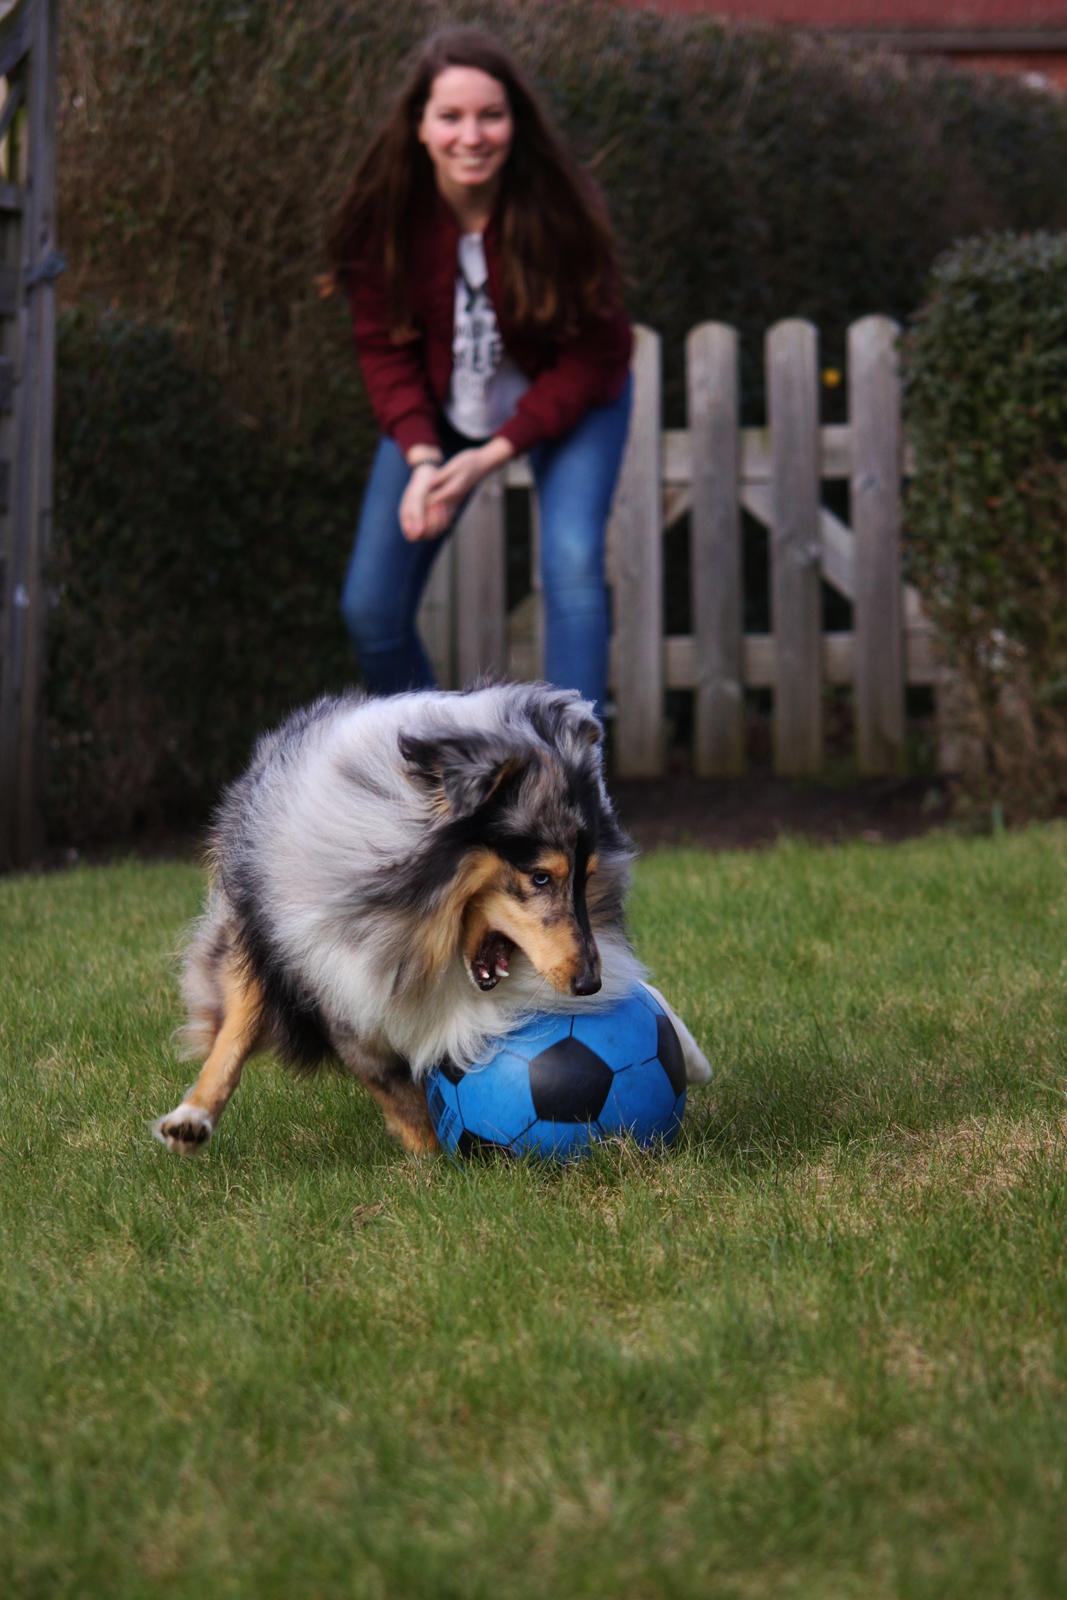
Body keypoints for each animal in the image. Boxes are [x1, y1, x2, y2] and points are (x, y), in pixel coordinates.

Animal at [151, 681, 710, 1158]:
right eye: (540, 877)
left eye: (585, 878)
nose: (588, 984)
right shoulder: (341, 986)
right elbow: (397, 1090)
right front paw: (437, 1163)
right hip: (254, 937)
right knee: (237, 1023)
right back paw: (192, 1118)